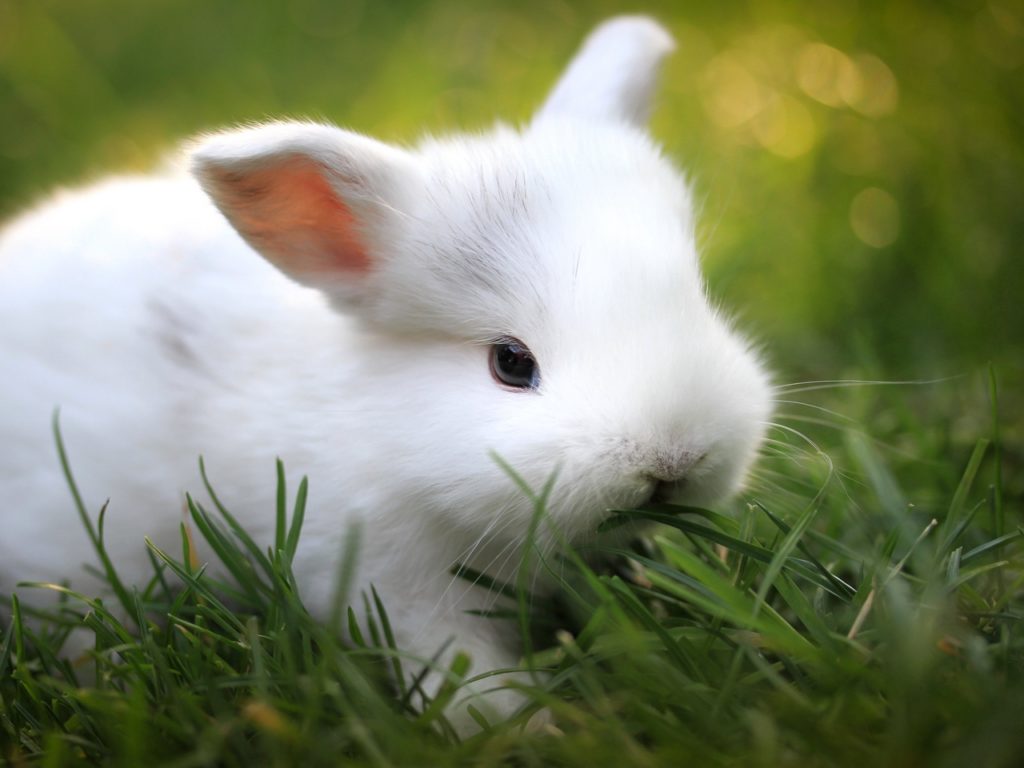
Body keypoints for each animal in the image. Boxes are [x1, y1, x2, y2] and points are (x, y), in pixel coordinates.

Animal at [0, 16, 771, 728]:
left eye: (697, 298)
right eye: (511, 363)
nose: (673, 460)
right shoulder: (394, 586)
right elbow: (459, 668)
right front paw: (525, 728)